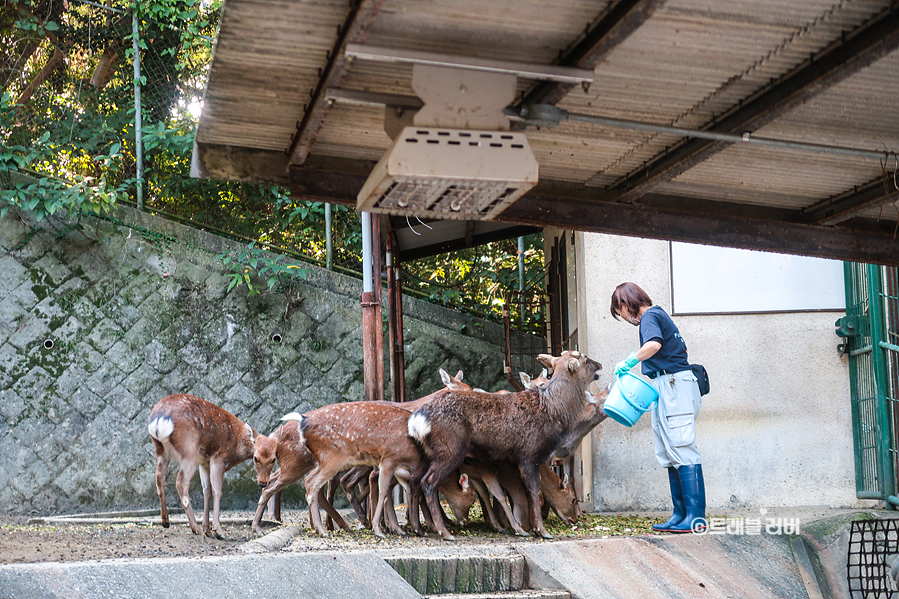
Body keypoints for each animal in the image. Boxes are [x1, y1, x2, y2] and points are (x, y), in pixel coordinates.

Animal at [148, 394, 276, 540]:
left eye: (274, 459)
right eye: (256, 458)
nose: (263, 483)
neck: (236, 447)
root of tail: (158, 421)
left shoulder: (204, 462)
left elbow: (207, 491)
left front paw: (208, 530)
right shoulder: (218, 458)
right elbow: (217, 491)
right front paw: (218, 531)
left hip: (161, 450)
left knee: (159, 477)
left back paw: (166, 521)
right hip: (189, 448)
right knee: (181, 482)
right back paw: (195, 528)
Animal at [412, 350, 600, 540]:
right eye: (585, 359)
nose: (599, 365)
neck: (554, 410)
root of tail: (417, 420)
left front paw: (530, 527)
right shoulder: (530, 453)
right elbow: (533, 489)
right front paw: (542, 531)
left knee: (418, 482)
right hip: (450, 449)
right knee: (429, 482)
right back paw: (444, 531)